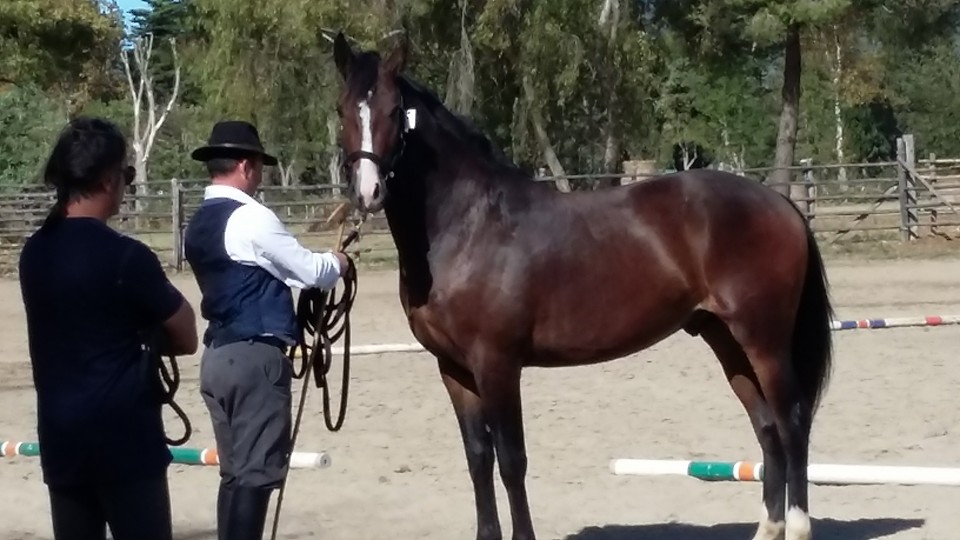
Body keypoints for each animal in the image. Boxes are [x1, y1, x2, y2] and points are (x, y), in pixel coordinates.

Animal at [331, 32, 833, 540]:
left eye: (395, 110)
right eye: (342, 109)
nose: (368, 192)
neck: (468, 224)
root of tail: (781, 204)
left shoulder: (497, 364)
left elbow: (511, 460)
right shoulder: (453, 369)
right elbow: (478, 458)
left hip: (764, 341)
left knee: (792, 423)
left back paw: (797, 526)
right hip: (725, 339)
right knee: (767, 428)